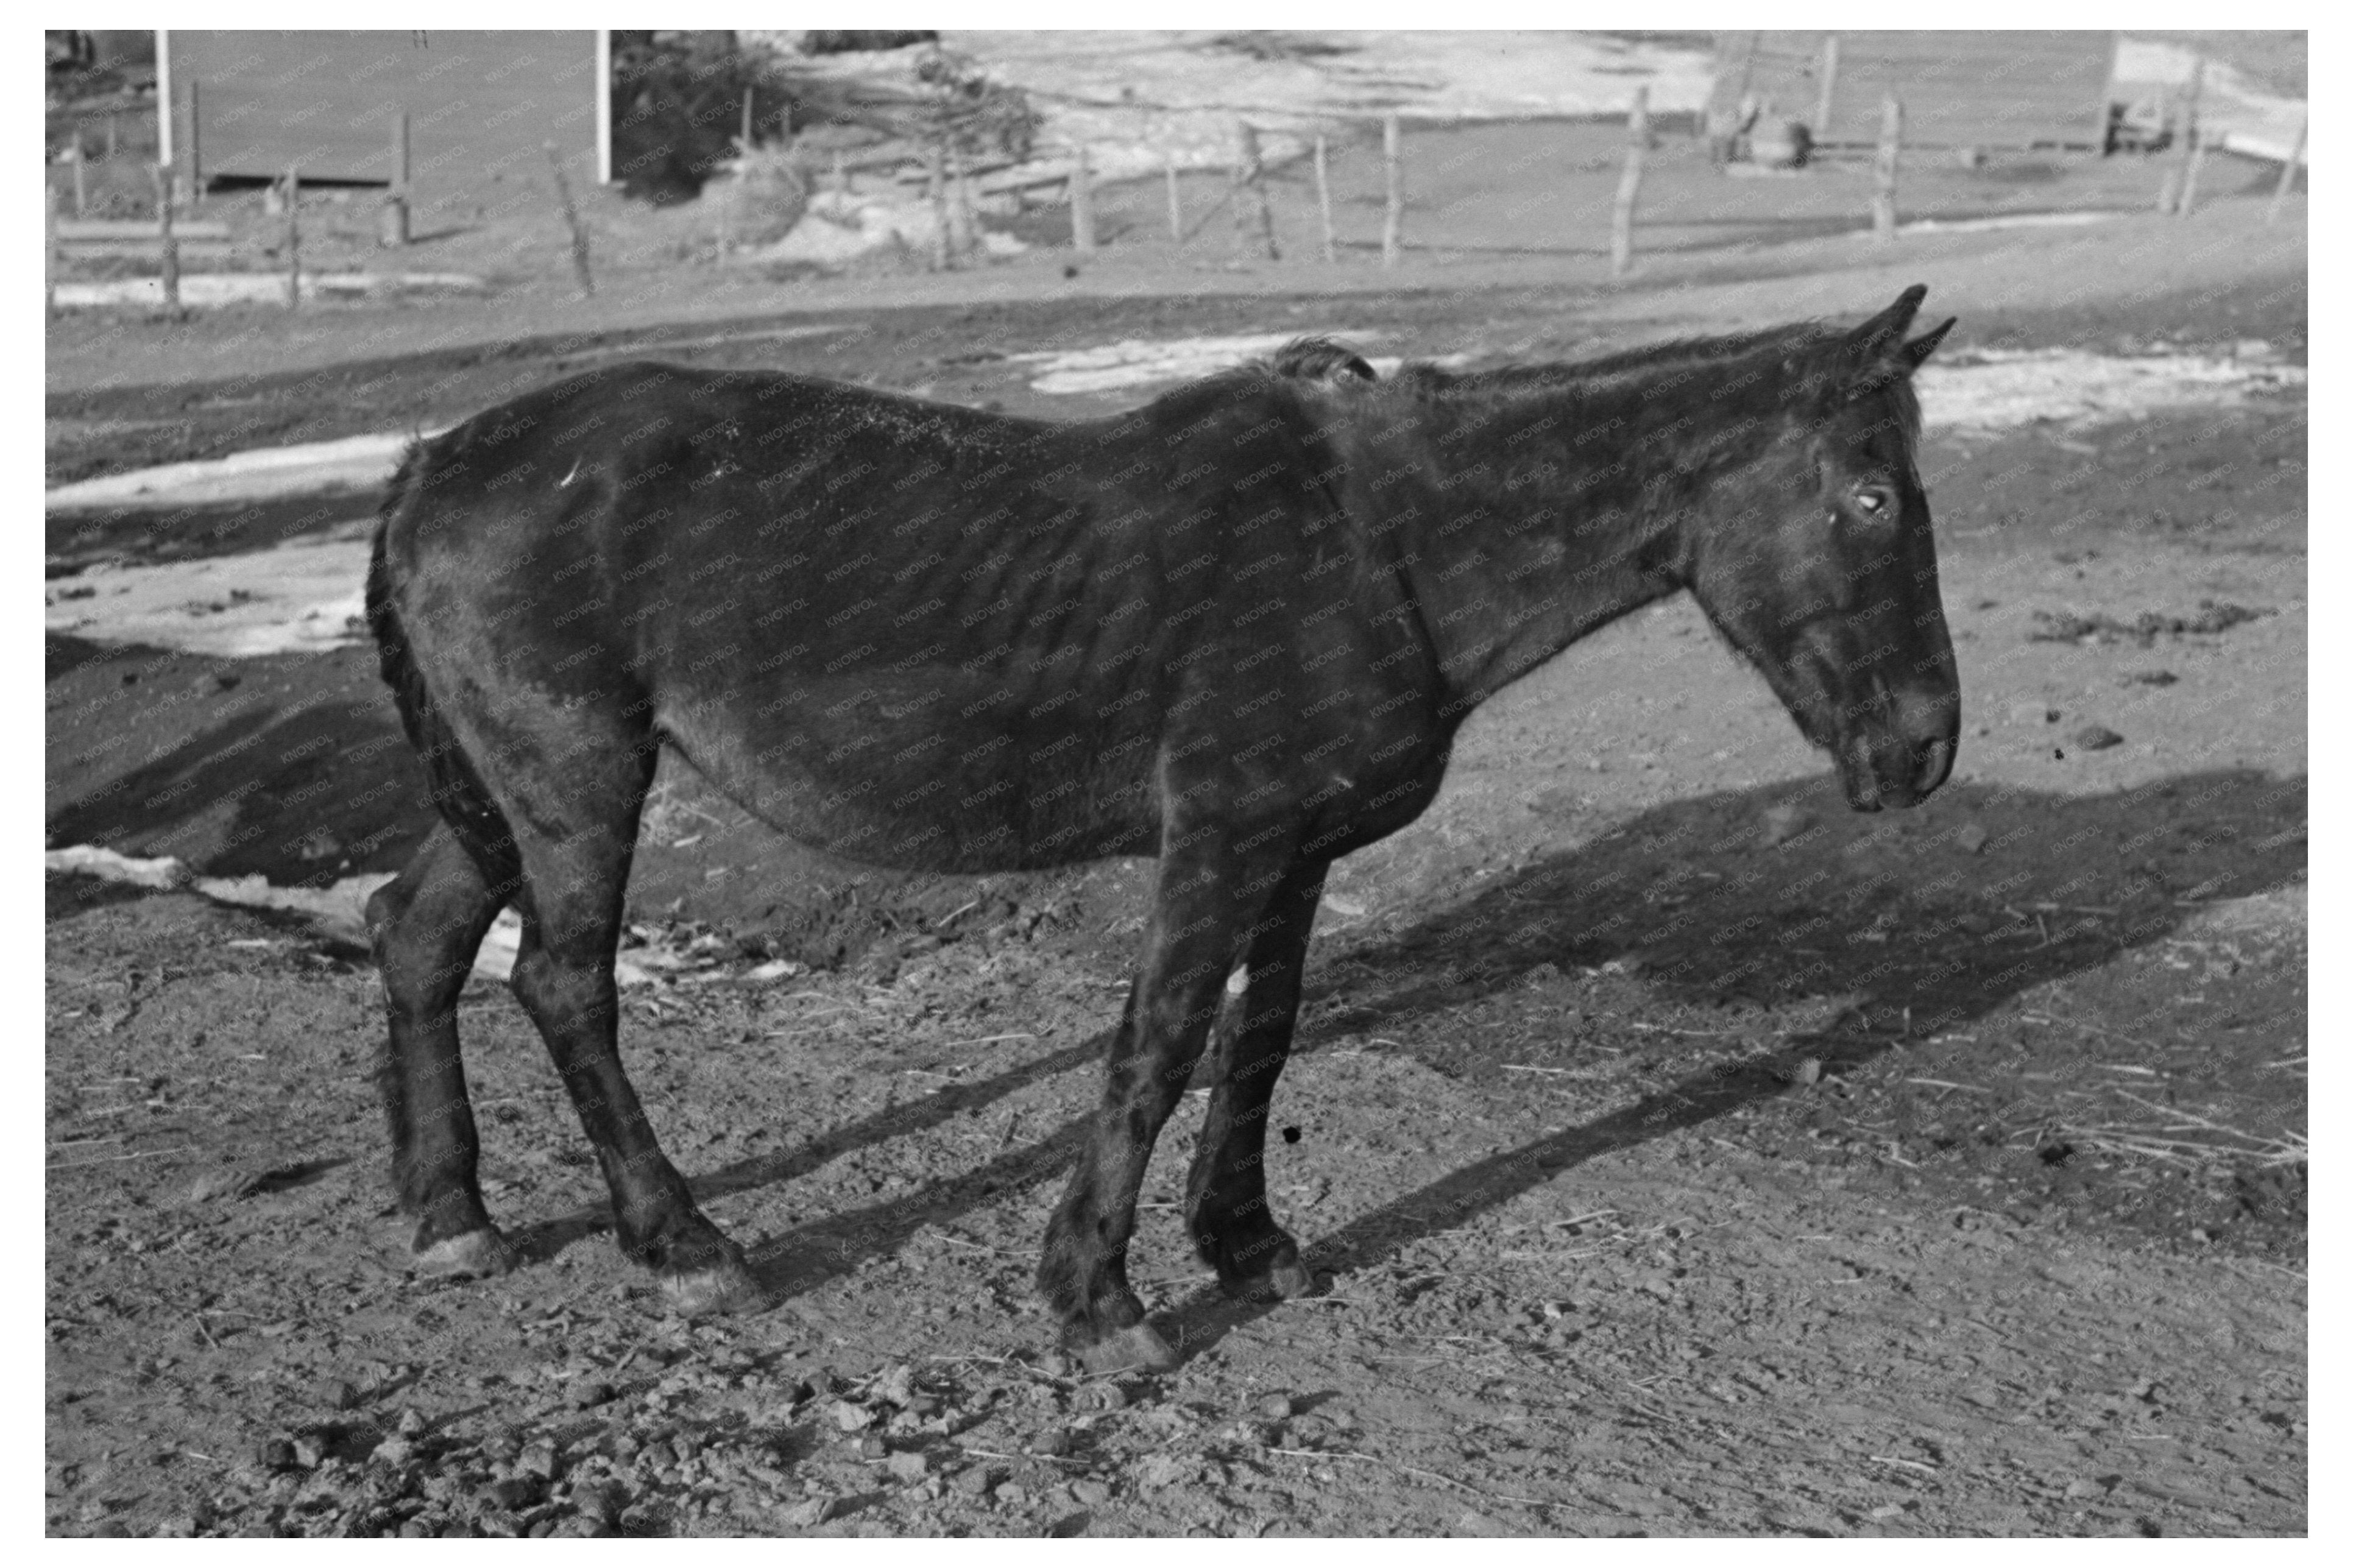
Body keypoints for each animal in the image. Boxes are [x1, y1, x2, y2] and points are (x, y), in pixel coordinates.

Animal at [367, 283, 1967, 1365]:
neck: (1374, 537)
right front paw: (1096, 1297)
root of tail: (439, 461)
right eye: (1871, 496)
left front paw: (1243, 1242)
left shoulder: (1293, 854)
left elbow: (1256, 1041)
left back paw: (453, 1213)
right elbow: (1158, 1042)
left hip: (506, 796)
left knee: (417, 937)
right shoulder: (1218, 837)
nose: (1923, 746)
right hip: (577, 782)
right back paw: (684, 1244)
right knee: (562, 983)